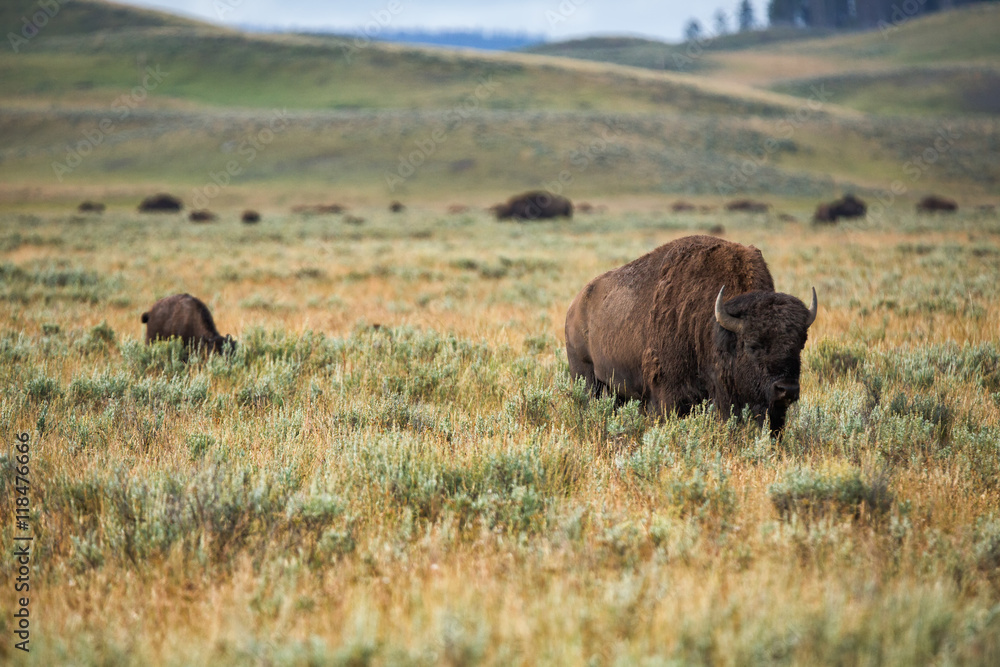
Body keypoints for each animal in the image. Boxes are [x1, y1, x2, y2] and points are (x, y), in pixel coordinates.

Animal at [568, 235, 816, 434]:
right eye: (752, 345)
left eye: (800, 343)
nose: (787, 389)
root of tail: (575, 305)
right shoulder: (667, 394)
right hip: (587, 378)